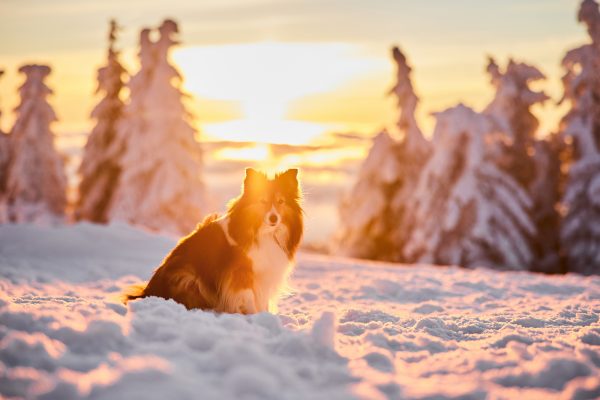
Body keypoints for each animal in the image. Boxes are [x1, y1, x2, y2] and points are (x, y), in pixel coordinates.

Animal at [122, 167, 302, 314]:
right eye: (262, 201)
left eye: (280, 201)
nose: (273, 218)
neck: (263, 233)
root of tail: (147, 292)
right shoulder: (242, 273)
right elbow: (249, 296)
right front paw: (255, 317)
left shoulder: (265, 275)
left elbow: (262, 300)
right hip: (187, 277)